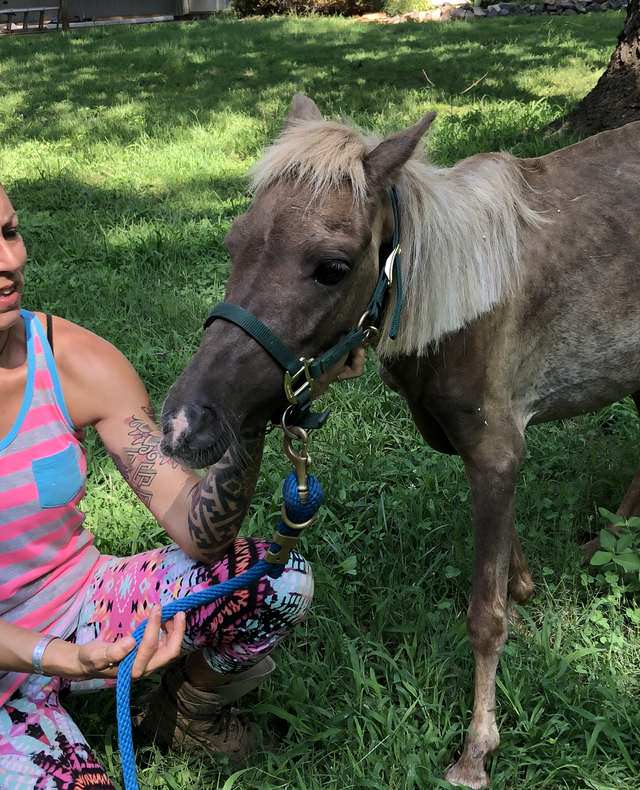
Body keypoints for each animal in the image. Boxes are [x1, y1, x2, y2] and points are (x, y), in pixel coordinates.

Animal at [159, 96, 640, 788]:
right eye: (234, 244)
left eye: (332, 268)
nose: (183, 426)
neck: (458, 305)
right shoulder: (489, 451)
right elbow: (508, 564)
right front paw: (526, 590)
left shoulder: (497, 449)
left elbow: (484, 615)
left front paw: (475, 753)